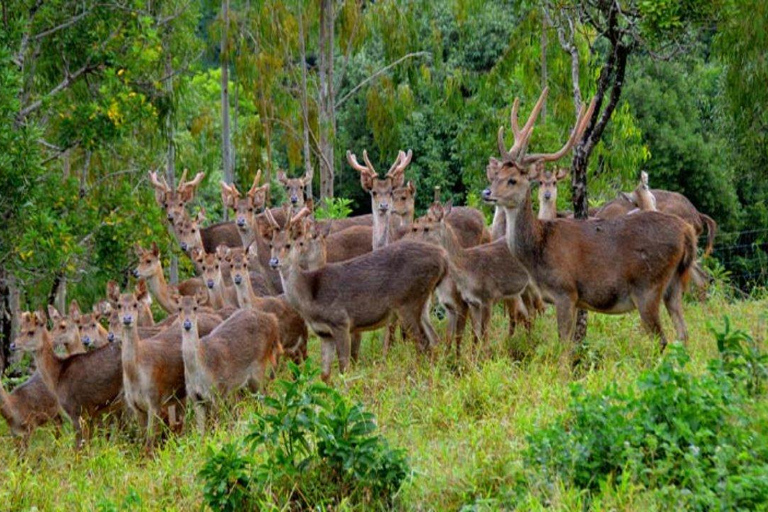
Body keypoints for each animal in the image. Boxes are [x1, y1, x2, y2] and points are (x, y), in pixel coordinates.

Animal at [10, 308, 122, 448]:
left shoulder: (75, 410)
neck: (57, 375)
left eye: (31, 332)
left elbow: (79, 447)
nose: (12, 345)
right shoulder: (89, 413)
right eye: (21, 329)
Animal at [176, 292, 280, 432]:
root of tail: (273, 320)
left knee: (264, 396)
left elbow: (220, 425)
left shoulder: (219, 391)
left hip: (259, 365)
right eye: (179, 308)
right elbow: (201, 432)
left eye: (195, 307)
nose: (187, 324)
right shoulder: (195, 398)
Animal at [486, 87, 696, 356]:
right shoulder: (574, 299)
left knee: (662, 339)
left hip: (647, 286)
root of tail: (687, 232)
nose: (487, 193)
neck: (539, 249)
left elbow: (564, 347)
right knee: (683, 333)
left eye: (512, 180)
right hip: (675, 283)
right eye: (496, 175)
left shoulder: (565, 291)